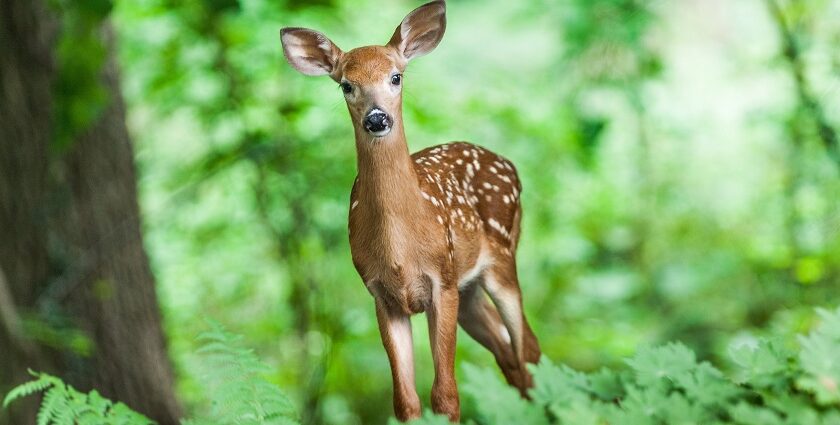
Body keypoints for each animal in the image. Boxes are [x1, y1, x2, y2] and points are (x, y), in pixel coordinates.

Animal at [282, 1, 540, 420]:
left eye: (396, 77)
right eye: (346, 85)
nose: (376, 118)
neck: (400, 249)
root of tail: (509, 165)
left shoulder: (442, 281)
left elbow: (446, 395)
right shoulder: (381, 295)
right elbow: (405, 400)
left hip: (501, 257)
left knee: (528, 348)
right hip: (469, 290)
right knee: (509, 355)